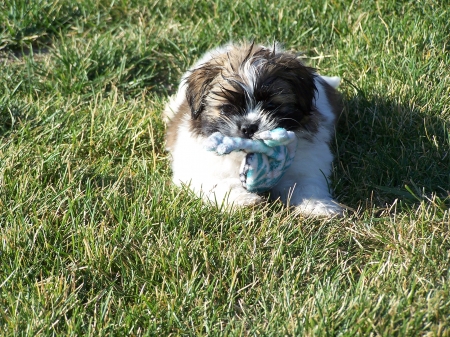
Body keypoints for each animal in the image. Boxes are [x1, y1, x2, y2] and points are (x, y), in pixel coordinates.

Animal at [163, 42, 342, 217]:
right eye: (227, 108)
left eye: (271, 106)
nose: (248, 127)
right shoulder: (200, 169)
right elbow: (221, 183)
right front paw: (244, 201)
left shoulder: (306, 161)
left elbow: (306, 183)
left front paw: (318, 206)